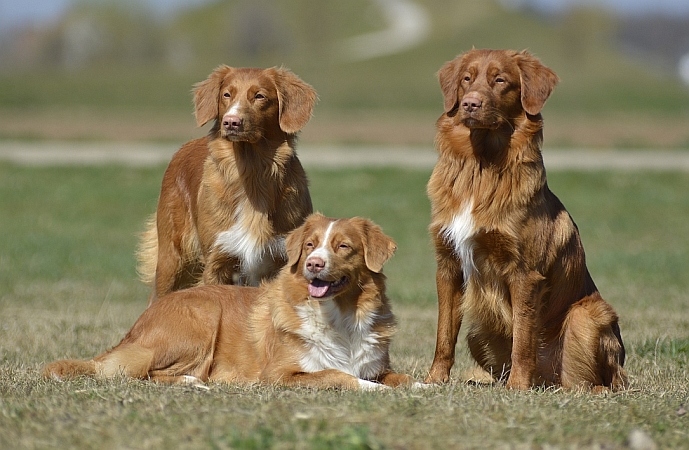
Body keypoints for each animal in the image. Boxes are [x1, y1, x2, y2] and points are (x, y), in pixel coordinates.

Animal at [138, 66, 316, 306]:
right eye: (226, 95)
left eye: (260, 96)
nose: (231, 122)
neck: (251, 173)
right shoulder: (217, 261)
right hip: (172, 260)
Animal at [422, 47, 628, 388]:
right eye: (466, 79)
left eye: (500, 80)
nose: (470, 103)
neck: (482, 165)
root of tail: (547, 380)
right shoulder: (447, 265)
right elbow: (444, 334)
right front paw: (434, 379)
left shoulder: (525, 274)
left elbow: (522, 336)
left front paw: (518, 387)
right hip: (479, 332)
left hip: (587, 316)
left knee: (593, 383)